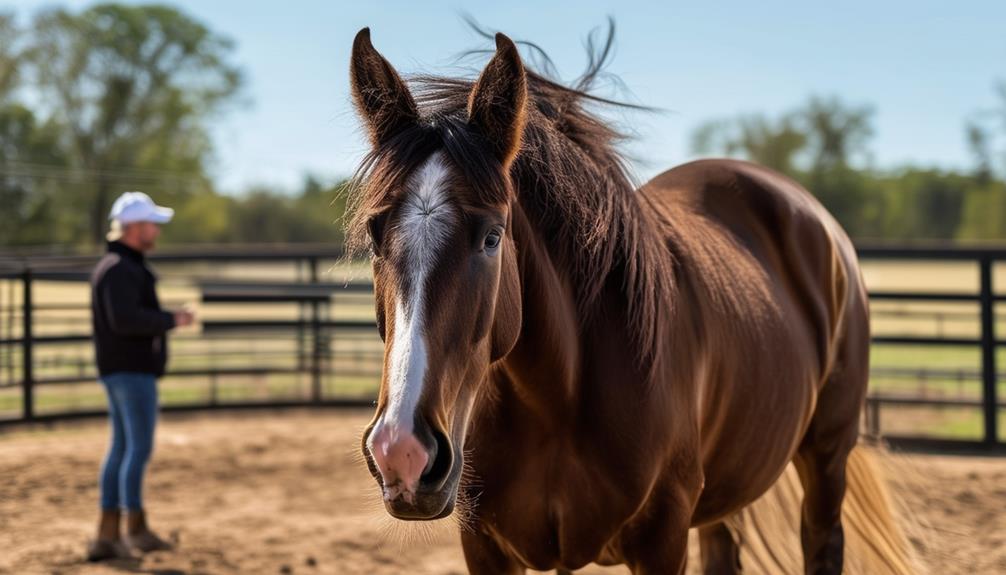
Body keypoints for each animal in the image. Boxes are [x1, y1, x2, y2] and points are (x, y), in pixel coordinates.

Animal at [350, 28, 885, 575]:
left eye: (492, 238)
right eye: (374, 237)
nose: (401, 450)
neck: (558, 401)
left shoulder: (662, 539)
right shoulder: (483, 545)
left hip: (826, 459)